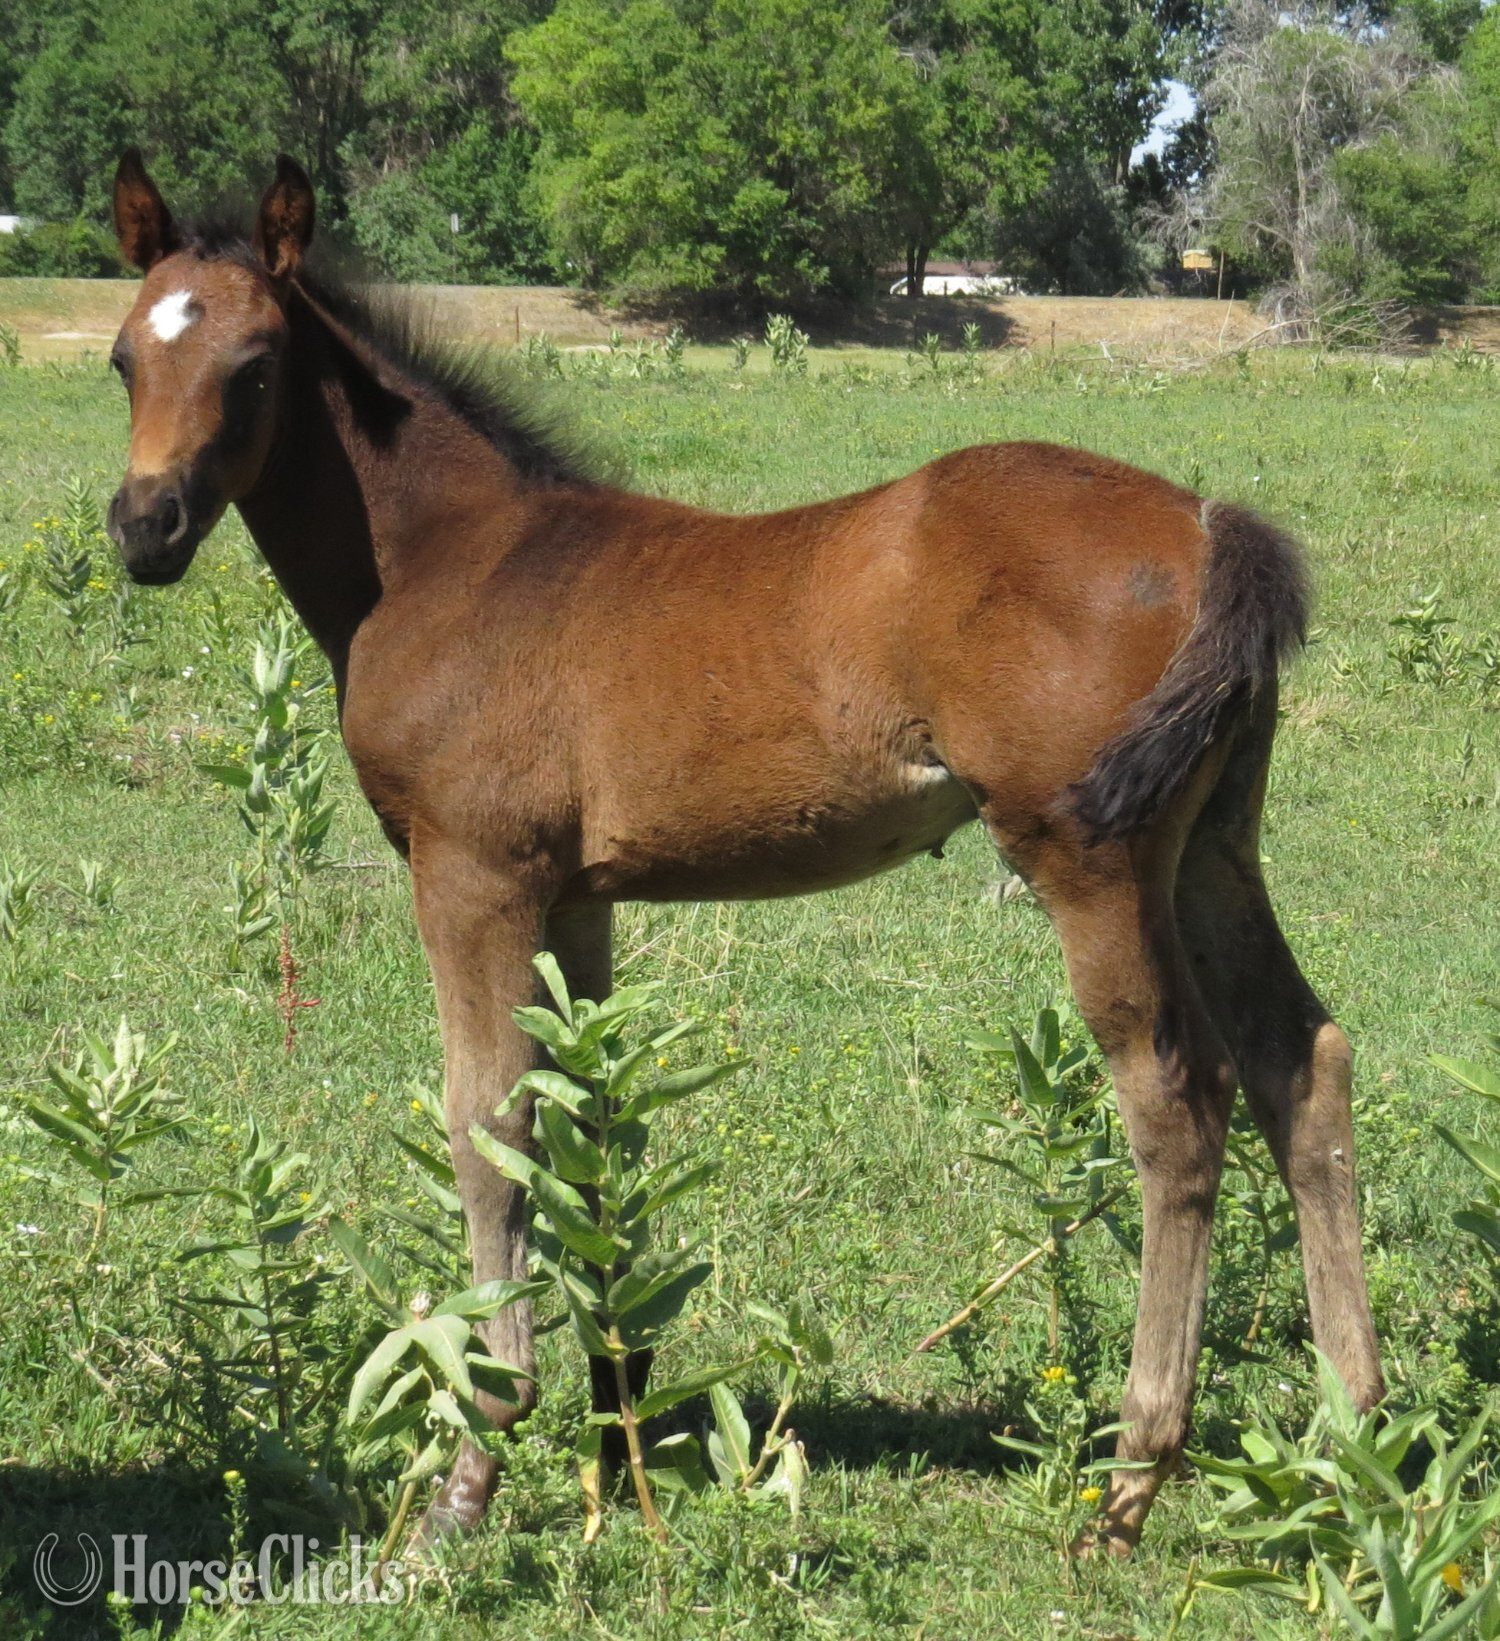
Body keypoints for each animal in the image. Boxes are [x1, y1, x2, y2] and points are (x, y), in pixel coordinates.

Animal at [103, 150, 1383, 1554]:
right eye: (122, 358)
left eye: (256, 365)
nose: (145, 526)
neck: (452, 562)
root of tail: (1209, 525)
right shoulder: (578, 897)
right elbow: (590, 1118)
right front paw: (621, 1423)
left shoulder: (472, 874)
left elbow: (488, 1126)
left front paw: (475, 1464)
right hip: (1211, 848)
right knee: (1299, 1060)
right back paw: (1353, 1432)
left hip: (1090, 858)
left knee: (1179, 1100)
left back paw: (1133, 1477)